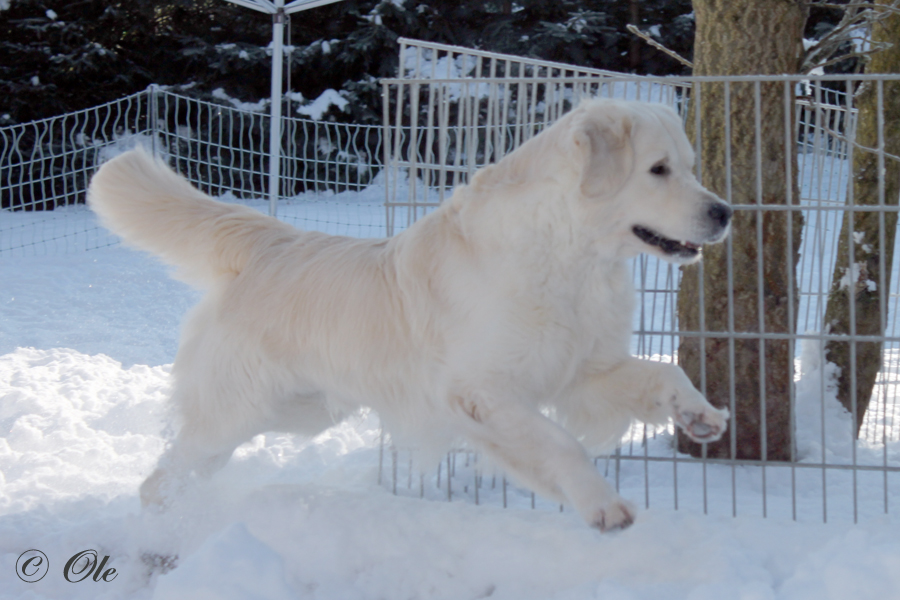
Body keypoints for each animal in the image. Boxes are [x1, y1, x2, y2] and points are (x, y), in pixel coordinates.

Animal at [86, 99, 732, 536]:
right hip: (232, 413)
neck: (569, 255)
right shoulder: (483, 393)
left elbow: (662, 374)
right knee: (158, 483)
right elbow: (561, 444)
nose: (726, 212)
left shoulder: (585, 372)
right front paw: (602, 504)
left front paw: (699, 414)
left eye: (690, 165)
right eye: (657, 169)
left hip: (299, 411)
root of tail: (270, 243)